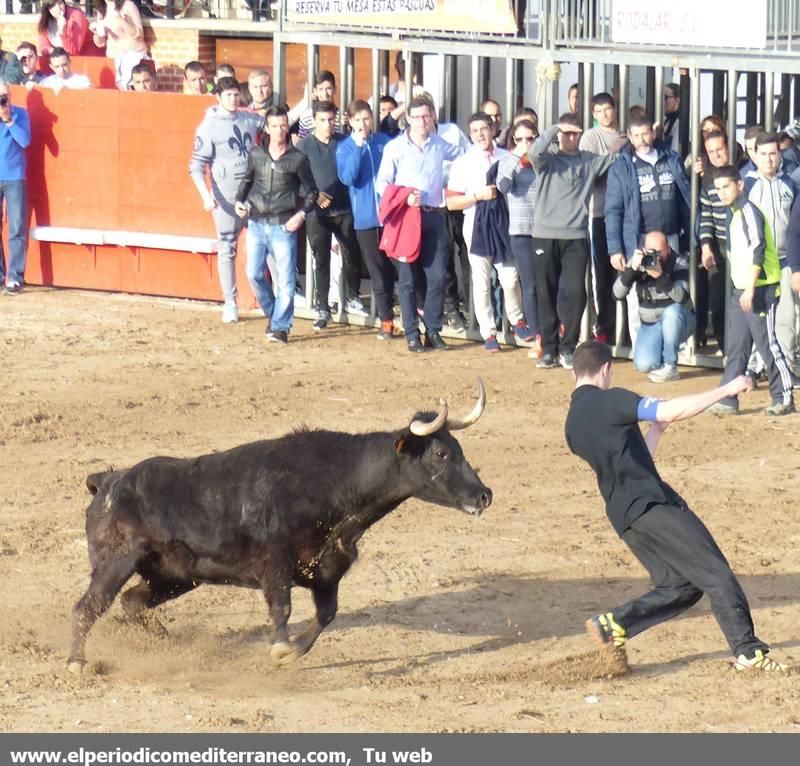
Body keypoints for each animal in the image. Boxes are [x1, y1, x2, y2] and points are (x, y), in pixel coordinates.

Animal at [67, 382, 494, 672]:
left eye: (460, 451)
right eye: (441, 454)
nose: (484, 494)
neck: (333, 483)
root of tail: (108, 480)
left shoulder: (327, 570)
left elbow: (326, 615)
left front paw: (292, 653)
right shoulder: (275, 564)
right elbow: (283, 608)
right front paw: (280, 648)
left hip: (174, 576)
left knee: (132, 602)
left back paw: (169, 647)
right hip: (116, 562)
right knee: (88, 606)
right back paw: (77, 662)